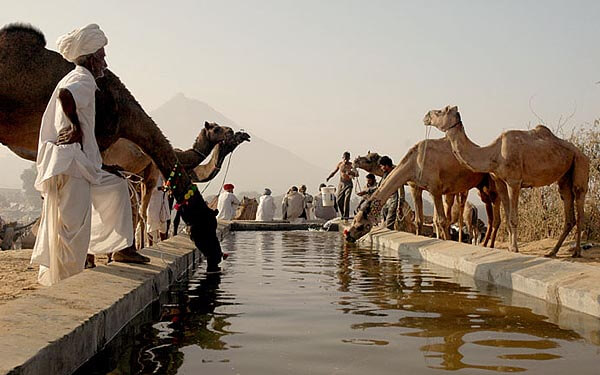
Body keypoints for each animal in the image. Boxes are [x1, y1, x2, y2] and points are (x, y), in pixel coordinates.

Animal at [354, 150, 500, 247]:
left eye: (371, 158)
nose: (356, 160)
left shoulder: (435, 189)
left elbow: (438, 219)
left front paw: (444, 238)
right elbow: (431, 220)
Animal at [424, 106, 588, 258]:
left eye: (440, 111)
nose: (426, 116)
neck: (494, 153)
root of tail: (580, 152)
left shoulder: (514, 181)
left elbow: (513, 218)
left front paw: (515, 248)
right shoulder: (500, 182)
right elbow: (508, 218)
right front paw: (510, 248)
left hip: (580, 163)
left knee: (580, 203)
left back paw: (577, 252)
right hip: (565, 176)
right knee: (568, 206)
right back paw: (552, 252)